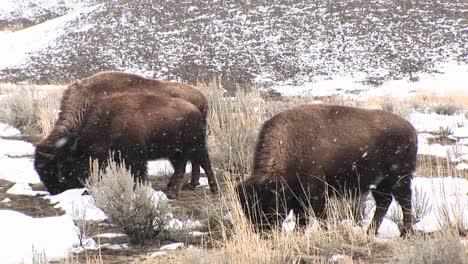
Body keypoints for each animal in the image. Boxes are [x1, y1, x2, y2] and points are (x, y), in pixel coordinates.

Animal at [34, 93, 218, 198]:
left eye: (62, 167)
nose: (55, 191)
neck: (108, 121)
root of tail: (196, 110)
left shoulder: (135, 156)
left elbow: (138, 173)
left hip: (193, 147)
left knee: (199, 165)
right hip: (178, 151)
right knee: (188, 166)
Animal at [238, 104, 416, 236]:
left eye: (272, 204)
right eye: (247, 209)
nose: (264, 233)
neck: (290, 143)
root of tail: (411, 129)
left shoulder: (315, 189)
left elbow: (319, 215)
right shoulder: (298, 195)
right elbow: (302, 216)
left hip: (399, 178)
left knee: (404, 201)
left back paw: (405, 233)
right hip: (380, 183)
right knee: (384, 203)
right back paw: (370, 232)